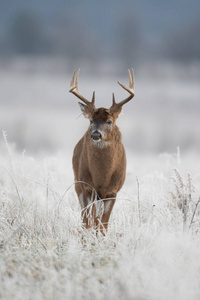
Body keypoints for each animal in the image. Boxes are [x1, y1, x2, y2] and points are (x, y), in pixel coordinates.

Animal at [69, 68, 134, 234]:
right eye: (91, 120)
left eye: (109, 121)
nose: (96, 134)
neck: (102, 177)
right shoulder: (88, 187)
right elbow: (89, 222)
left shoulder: (112, 191)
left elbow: (103, 225)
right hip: (78, 184)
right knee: (85, 219)